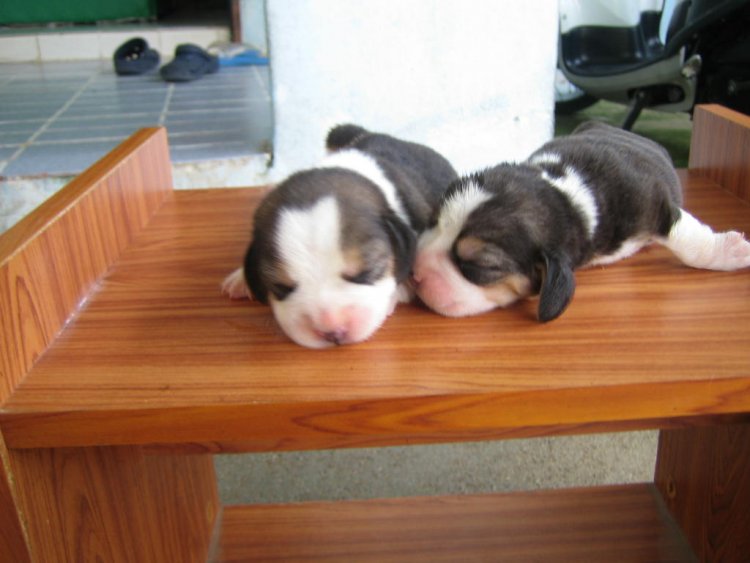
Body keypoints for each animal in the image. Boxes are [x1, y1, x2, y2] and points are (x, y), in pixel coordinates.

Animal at [413, 121, 750, 322]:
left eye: (481, 266)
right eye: (433, 220)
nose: (414, 274)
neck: (564, 193)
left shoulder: (656, 205)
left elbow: (689, 238)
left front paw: (730, 251)